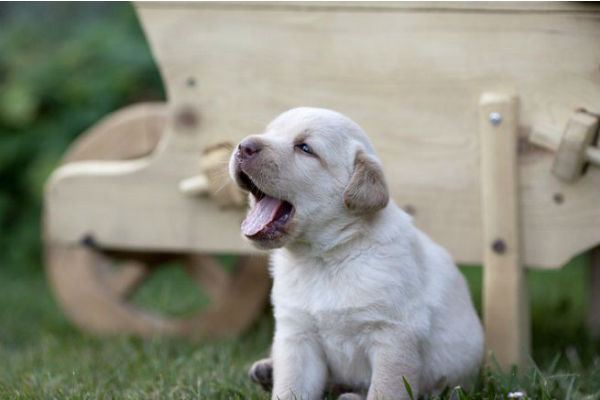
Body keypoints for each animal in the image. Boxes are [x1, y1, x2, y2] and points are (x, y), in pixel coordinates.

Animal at [227, 107, 486, 400]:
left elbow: (384, 389)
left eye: (305, 148)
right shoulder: (297, 337)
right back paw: (266, 371)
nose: (244, 146)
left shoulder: (393, 335)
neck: (324, 259)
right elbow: (289, 386)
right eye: (269, 132)